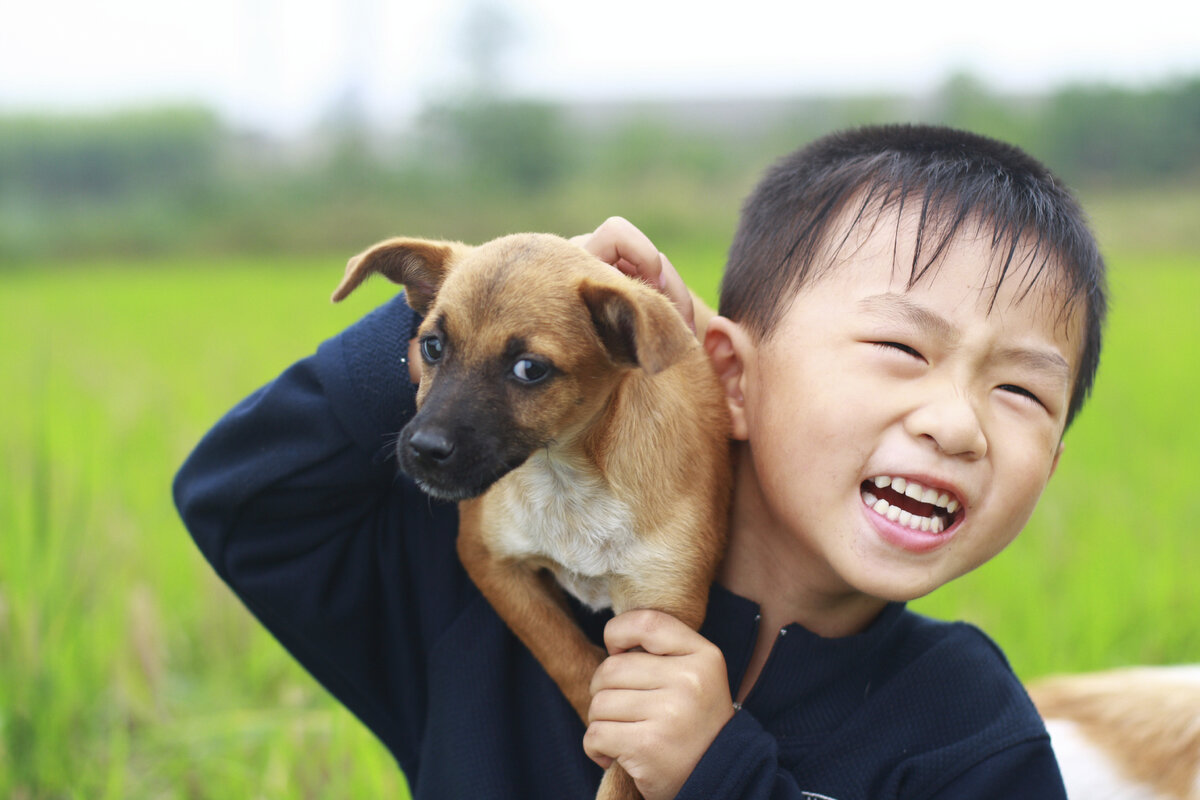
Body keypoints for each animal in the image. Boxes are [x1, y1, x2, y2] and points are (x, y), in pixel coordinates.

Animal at [333, 231, 734, 800]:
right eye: (431, 347)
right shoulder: (488, 558)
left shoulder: (660, 623)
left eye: (529, 369)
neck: (568, 478)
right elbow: (564, 655)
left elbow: (627, 769)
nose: (422, 449)